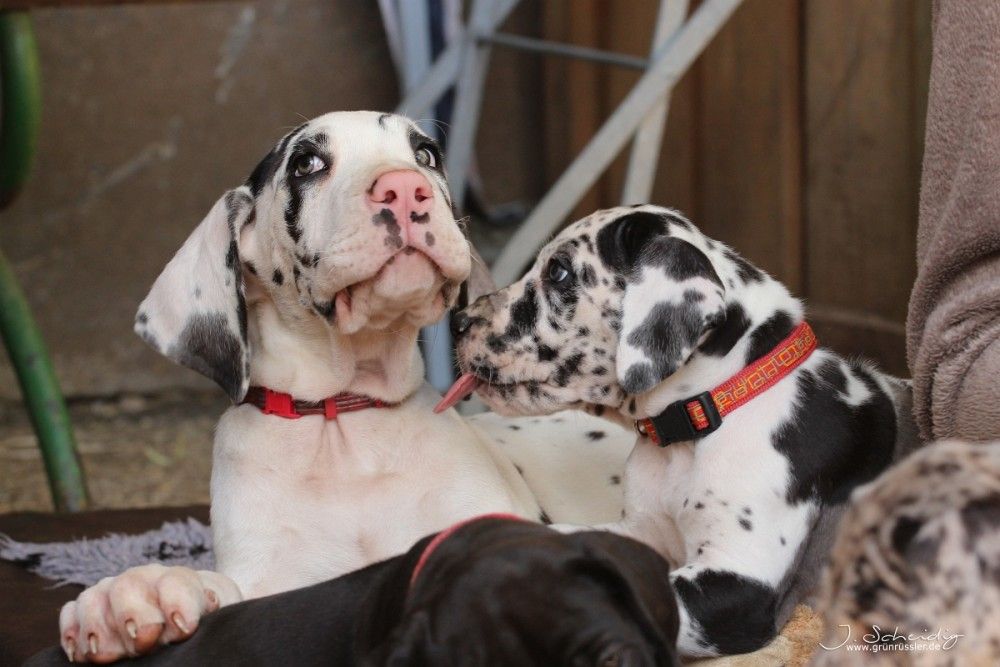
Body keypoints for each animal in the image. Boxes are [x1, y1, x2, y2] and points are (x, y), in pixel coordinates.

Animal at [56, 112, 633, 663]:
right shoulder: (270, 579)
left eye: (426, 154)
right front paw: (138, 594)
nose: (406, 188)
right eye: (306, 164)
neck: (343, 420)